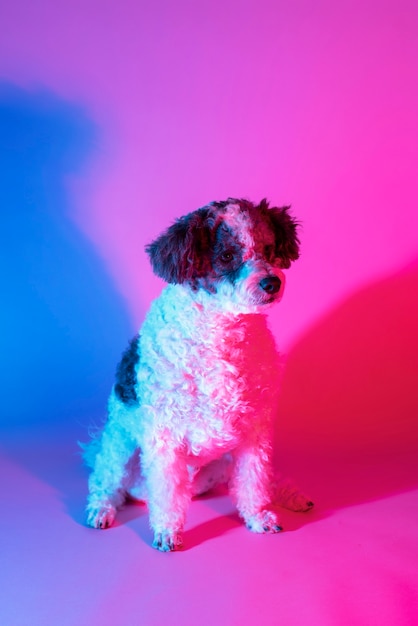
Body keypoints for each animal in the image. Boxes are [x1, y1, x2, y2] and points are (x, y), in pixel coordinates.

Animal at [84, 197, 314, 548]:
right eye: (227, 256)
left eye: (269, 248)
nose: (271, 282)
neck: (221, 332)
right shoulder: (164, 437)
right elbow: (167, 492)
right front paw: (167, 530)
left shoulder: (254, 433)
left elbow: (254, 480)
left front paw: (258, 516)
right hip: (119, 446)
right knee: (107, 483)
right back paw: (101, 509)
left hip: (225, 460)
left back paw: (292, 496)